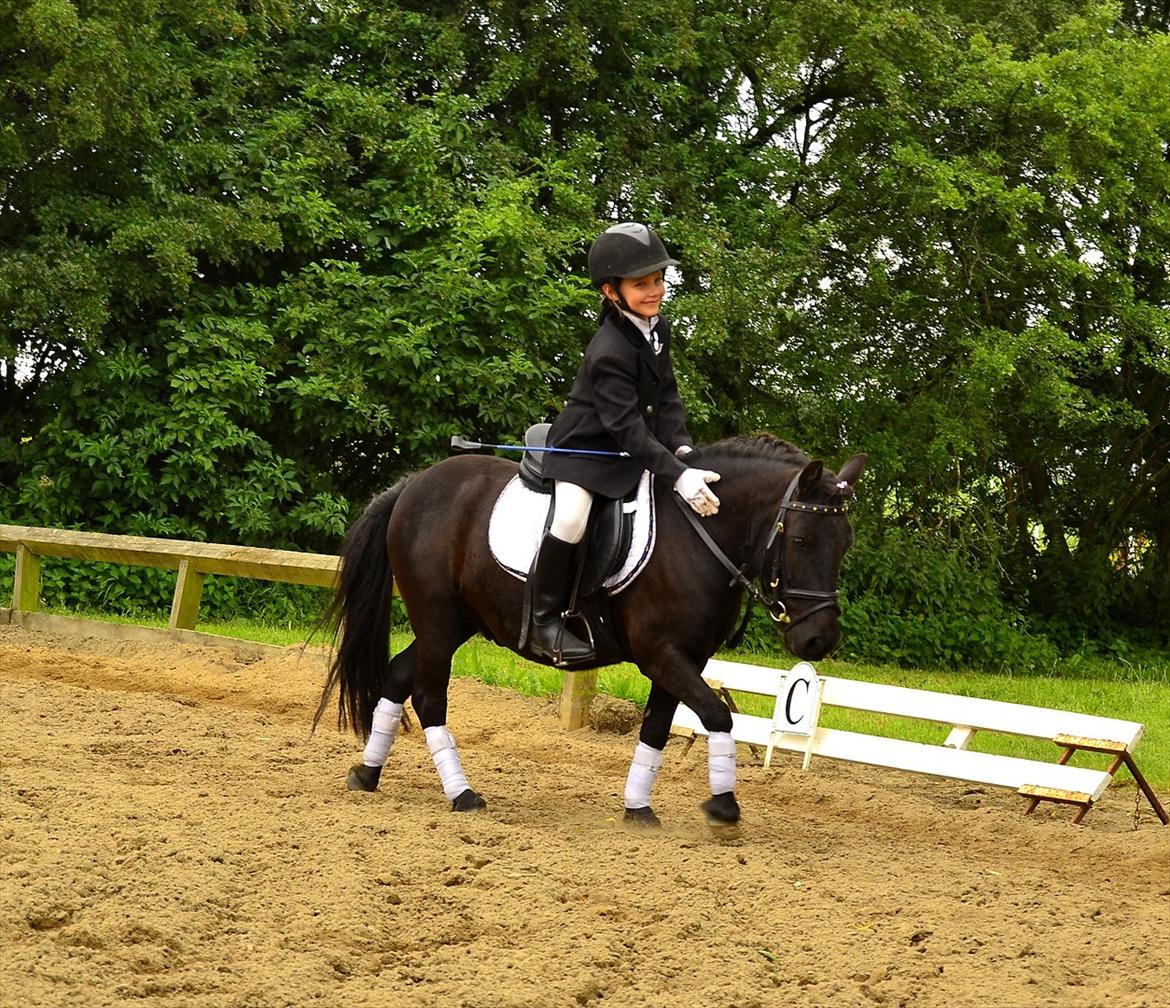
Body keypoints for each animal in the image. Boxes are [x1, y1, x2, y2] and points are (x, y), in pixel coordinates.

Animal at [314, 434, 866, 826]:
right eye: (800, 539)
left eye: (845, 543)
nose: (818, 641)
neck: (698, 535)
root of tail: (416, 483)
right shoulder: (661, 653)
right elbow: (716, 714)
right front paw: (723, 808)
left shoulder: (687, 657)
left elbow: (657, 727)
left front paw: (638, 808)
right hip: (437, 619)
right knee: (428, 698)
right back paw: (462, 794)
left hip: (455, 625)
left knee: (397, 675)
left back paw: (367, 773)